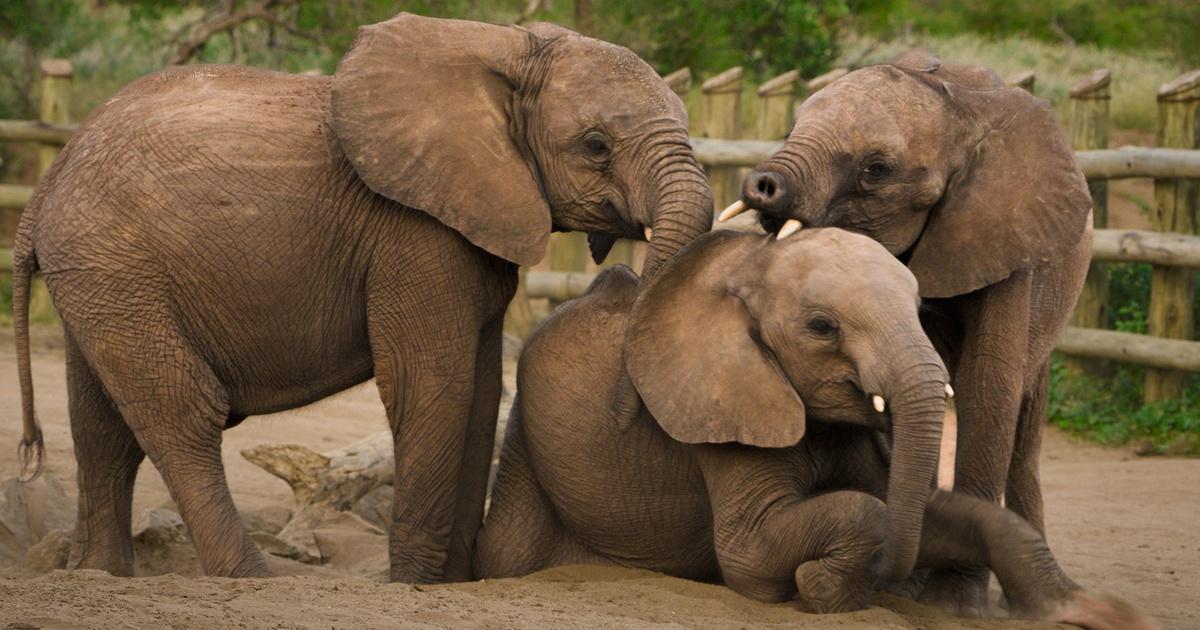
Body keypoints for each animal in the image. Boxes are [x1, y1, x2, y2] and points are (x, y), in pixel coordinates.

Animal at [10, 14, 713, 582]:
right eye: (596, 146)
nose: (624, 411)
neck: (506, 47)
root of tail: (47, 183)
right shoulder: (414, 230)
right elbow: (433, 384)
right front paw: (412, 586)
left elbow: (482, 392)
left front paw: (451, 585)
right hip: (114, 264)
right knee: (181, 411)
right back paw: (255, 578)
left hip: (101, 274)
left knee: (101, 423)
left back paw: (99, 574)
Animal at [472, 229, 1148, 629]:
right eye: (823, 327)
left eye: (920, 308)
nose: (893, 576)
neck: (749, 265)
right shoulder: (723, 406)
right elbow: (753, 552)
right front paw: (823, 588)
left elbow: (936, 511)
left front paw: (1100, 613)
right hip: (526, 443)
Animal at [720, 51, 1092, 611]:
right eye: (791, 128)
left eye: (876, 169)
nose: (761, 185)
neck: (957, 108)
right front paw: (904, 586)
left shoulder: (1006, 233)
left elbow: (989, 385)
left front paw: (952, 604)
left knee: (1025, 431)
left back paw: (1047, 599)